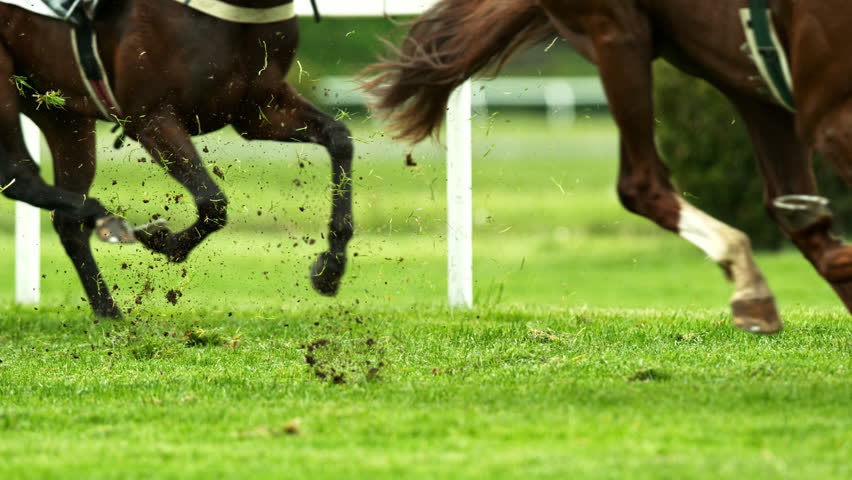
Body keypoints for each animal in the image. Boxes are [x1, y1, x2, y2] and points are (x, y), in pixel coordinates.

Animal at [0, 0, 353, 317]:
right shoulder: (151, 117)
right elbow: (213, 201)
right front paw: (165, 242)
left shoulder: (259, 109)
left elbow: (340, 137)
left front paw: (330, 268)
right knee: (18, 175)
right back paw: (107, 222)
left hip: (59, 110)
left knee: (65, 219)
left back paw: (109, 311)